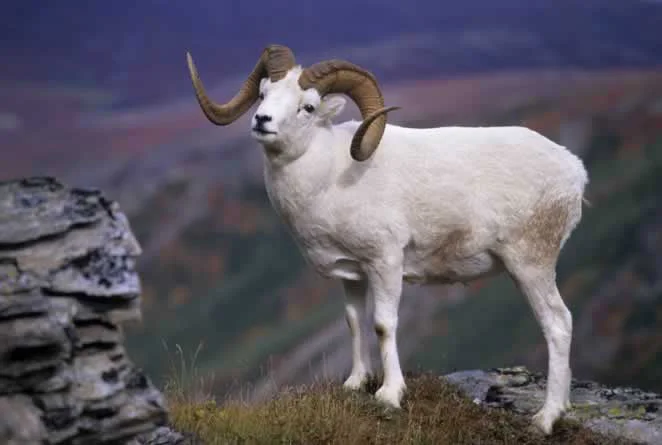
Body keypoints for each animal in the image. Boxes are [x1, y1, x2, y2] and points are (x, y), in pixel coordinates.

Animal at [185, 44, 589, 435]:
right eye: (264, 94)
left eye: (307, 107)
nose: (262, 121)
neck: (331, 177)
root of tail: (574, 170)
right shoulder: (351, 274)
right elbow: (354, 322)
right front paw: (355, 384)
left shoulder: (386, 263)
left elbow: (383, 324)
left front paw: (389, 394)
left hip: (530, 265)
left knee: (558, 324)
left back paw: (546, 419)